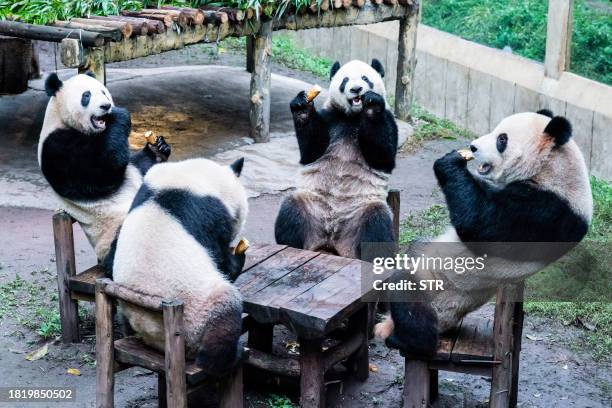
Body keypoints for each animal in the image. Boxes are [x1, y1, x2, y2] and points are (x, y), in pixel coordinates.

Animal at [112, 156, 249, 376]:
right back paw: (229, 356)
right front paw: (238, 257)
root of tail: (157, 338)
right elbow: (221, 259)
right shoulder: (210, 215)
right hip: (197, 314)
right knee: (225, 312)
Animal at [274, 58, 400, 258]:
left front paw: (372, 105)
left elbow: (383, 157)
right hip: (312, 205)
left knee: (376, 223)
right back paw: (293, 247)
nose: (356, 89)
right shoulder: (330, 118)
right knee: (291, 210)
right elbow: (311, 151)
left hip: (360, 212)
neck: (352, 117)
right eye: (345, 80)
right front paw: (302, 107)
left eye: (365, 78)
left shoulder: (388, 119)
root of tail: (332, 242)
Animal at [372, 110, 592, 356]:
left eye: (502, 139)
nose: (473, 147)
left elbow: (478, 223)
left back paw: (406, 340)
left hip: (438, 292)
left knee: (409, 295)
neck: (552, 167)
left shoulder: (545, 212)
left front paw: (449, 162)